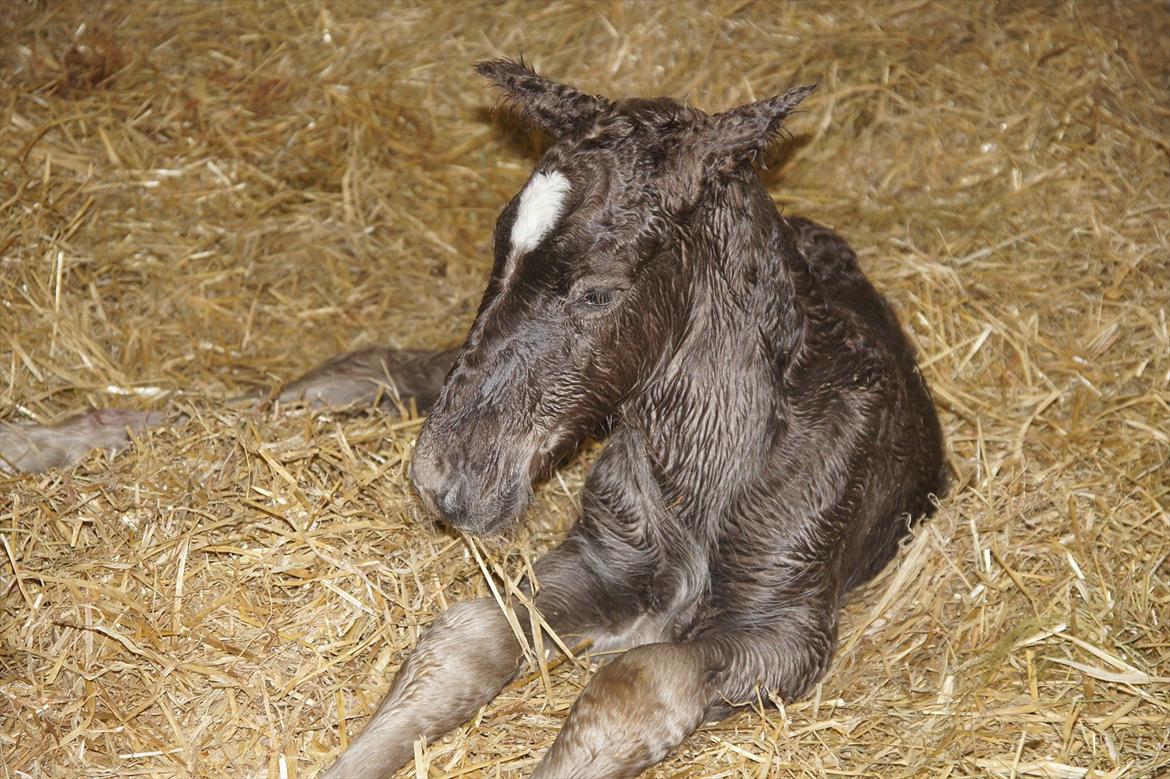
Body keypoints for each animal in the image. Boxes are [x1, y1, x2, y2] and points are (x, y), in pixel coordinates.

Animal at [322, 62, 950, 776]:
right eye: (497, 249)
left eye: (597, 293)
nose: (440, 477)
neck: (705, 469)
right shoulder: (604, 560)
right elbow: (467, 633)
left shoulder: (788, 628)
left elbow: (635, 682)